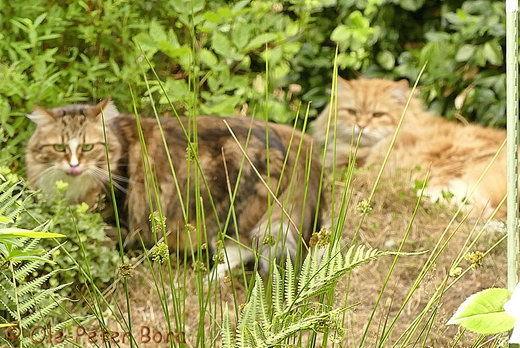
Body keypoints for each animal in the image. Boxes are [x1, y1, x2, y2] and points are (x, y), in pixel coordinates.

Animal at [26, 98, 324, 278]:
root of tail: (291, 141)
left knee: (240, 250)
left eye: (88, 147)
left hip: (227, 212)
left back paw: (208, 280)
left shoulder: (114, 216)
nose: (74, 165)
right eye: (59, 148)